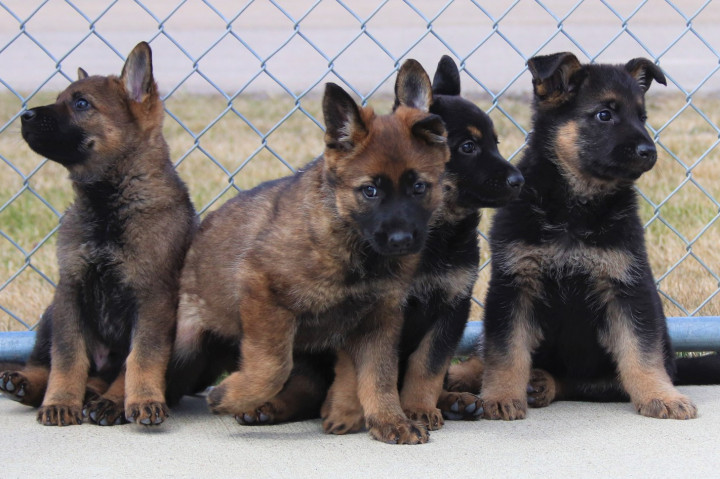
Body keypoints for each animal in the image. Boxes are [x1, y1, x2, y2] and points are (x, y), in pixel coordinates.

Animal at [0, 42, 197, 428]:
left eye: (81, 104)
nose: (24, 115)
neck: (108, 203)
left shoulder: (152, 299)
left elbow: (142, 357)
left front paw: (142, 399)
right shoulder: (70, 291)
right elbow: (67, 357)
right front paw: (60, 401)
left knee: (113, 374)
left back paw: (107, 401)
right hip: (50, 313)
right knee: (48, 364)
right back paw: (25, 384)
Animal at [169, 60, 450, 446]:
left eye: (419, 187)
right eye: (371, 191)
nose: (401, 240)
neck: (352, 245)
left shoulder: (380, 319)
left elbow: (380, 376)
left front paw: (389, 420)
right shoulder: (262, 290)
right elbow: (273, 365)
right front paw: (230, 395)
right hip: (183, 347)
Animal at [233, 55, 524, 432]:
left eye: (495, 143)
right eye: (468, 146)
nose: (520, 180)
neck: (435, 237)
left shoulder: (451, 306)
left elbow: (427, 366)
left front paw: (418, 407)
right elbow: (360, 369)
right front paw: (356, 412)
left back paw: (454, 401)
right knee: (304, 384)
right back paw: (268, 406)